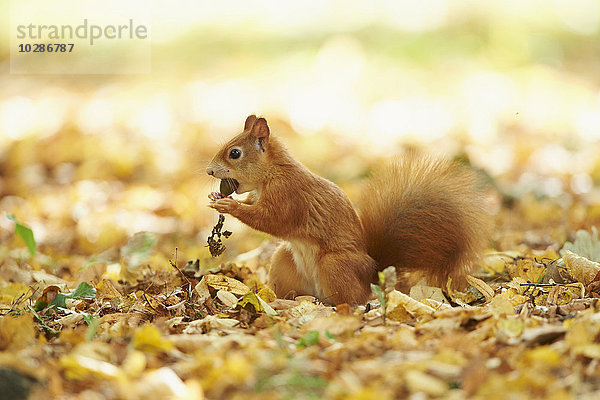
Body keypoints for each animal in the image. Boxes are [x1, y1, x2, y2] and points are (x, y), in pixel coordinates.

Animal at [205, 114, 488, 304]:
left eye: (235, 153)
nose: (209, 171)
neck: (272, 173)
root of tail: (372, 274)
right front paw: (215, 196)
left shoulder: (289, 195)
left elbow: (271, 220)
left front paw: (229, 205)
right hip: (284, 260)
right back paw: (285, 301)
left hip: (335, 264)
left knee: (354, 300)